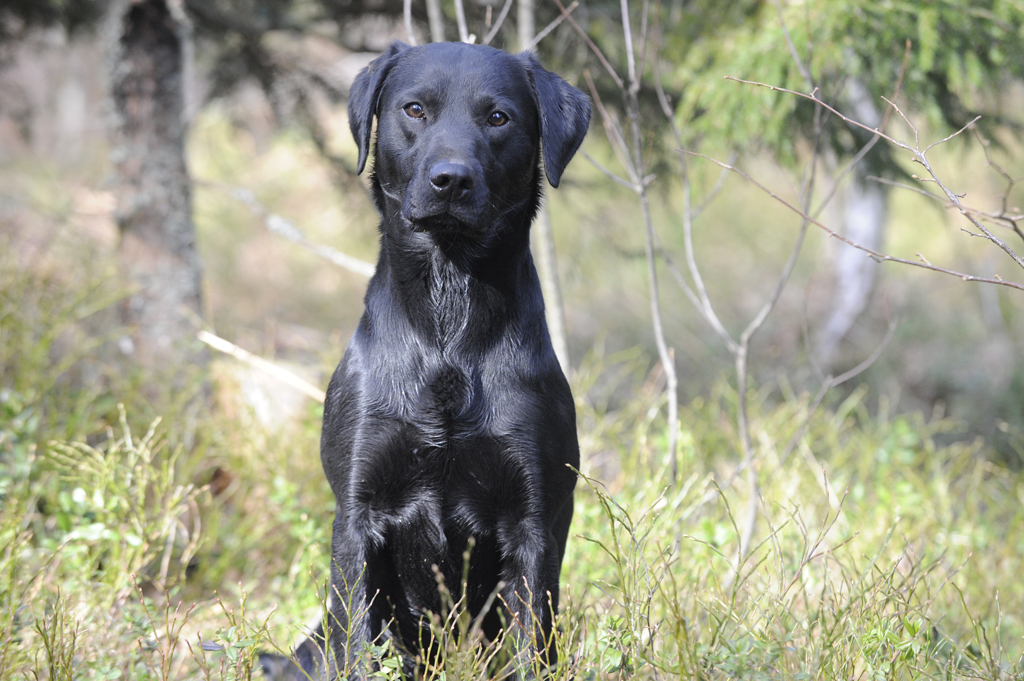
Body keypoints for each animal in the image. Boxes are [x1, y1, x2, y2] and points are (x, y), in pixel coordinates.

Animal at [260, 42, 589, 679]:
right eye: (415, 109)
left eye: (498, 117)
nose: (451, 180)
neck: (448, 321)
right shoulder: (358, 515)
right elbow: (358, 642)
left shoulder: (533, 521)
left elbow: (530, 642)